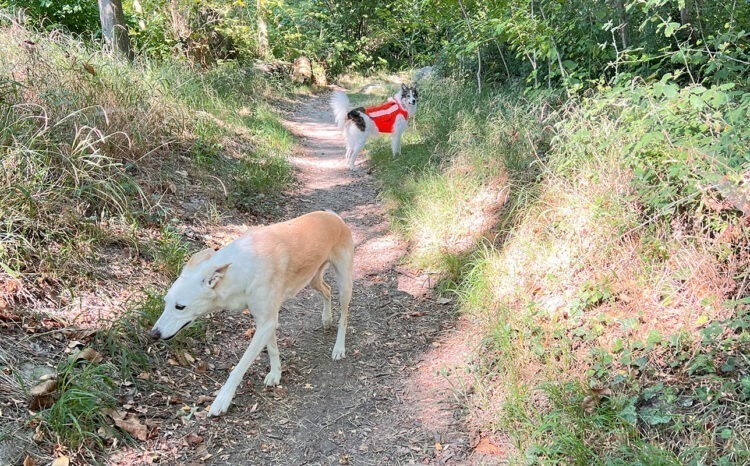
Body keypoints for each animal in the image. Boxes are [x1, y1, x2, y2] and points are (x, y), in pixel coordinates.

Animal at [151, 210, 356, 416]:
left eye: (180, 307)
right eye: (165, 303)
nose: (153, 334)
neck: (240, 269)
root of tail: (333, 217)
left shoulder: (267, 322)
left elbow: (239, 367)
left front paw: (222, 399)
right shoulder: (266, 321)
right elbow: (272, 349)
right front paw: (276, 374)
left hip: (344, 284)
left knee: (344, 317)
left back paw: (339, 347)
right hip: (312, 279)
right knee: (327, 290)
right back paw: (327, 318)